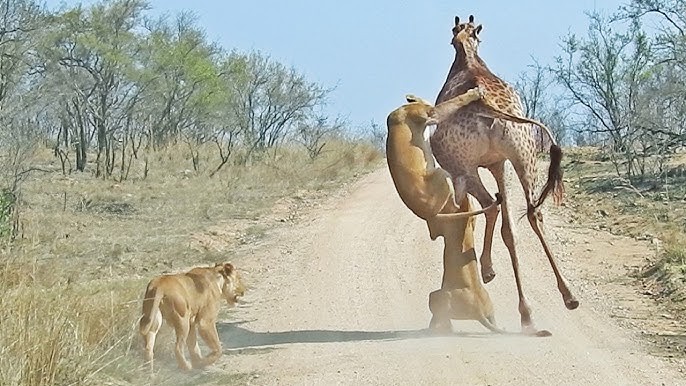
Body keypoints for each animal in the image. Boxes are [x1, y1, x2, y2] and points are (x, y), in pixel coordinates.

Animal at [430, 15, 580, 334]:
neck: (468, 57)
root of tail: (487, 106)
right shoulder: (499, 162)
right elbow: (508, 227)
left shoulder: (478, 167)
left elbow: (483, 213)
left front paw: (487, 270)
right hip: (524, 155)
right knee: (533, 214)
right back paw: (557, 302)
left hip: (464, 165)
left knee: (490, 206)